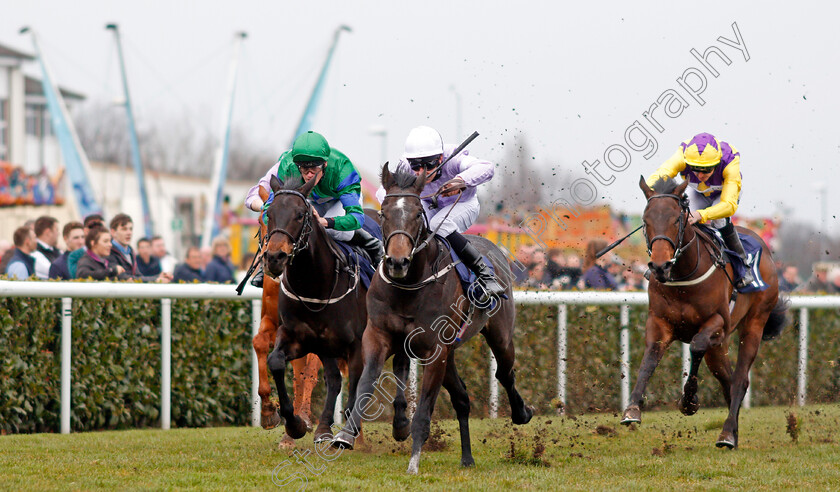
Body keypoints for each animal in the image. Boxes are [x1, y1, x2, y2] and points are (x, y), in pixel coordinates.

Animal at [262, 173, 368, 442]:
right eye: (270, 213)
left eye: (300, 214)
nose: (274, 258)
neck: (315, 287)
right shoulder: (303, 338)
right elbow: (275, 361)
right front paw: (295, 425)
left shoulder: (357, 343)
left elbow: (356, 384)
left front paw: (348, 434)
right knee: (334, 380)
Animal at [334, 164, 536, 472]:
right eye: (383, 213)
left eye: (418, 213)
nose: (397, 262)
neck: (408, 286)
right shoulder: (378, 336)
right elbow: (367, 383)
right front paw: (345, 434)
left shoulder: (435, 350)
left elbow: (424, 411)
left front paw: (414, 462)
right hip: (451, 353)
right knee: (462, 397)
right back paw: (467, 458)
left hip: (499, 335)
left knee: (504, 372)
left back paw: (522, 413)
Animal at [620, 177, 792, 450]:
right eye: (646, 220)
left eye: (676, 220)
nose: (660, 266)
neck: (683, 277)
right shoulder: (659, 321)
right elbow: (650, 358)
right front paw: (632, 409)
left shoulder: (717, 323)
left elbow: (697, 345)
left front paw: (689, 401)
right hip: (719, 347)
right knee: (728, 380)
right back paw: (733, 432)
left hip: (754, 321)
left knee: (739, 379)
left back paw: (727, 435)